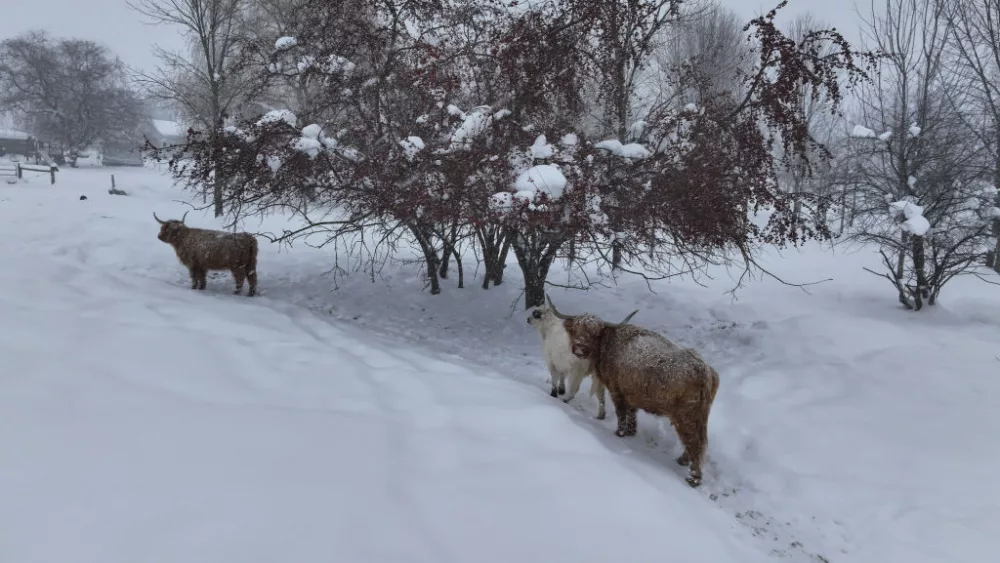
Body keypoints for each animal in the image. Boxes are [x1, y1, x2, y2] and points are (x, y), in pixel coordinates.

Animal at [556, 300, 720, 490]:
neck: (609, 343)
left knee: (695, 443)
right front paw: (631, 432)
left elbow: (621, 413)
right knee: (695, 442)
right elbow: (632, 414)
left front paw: (619, 433)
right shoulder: (630, 394)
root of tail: (704, 370)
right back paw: (682, 461)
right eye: (576, 329)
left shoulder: (616, 390)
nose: (580, 350)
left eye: (594, 334)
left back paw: (693, 478)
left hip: (686, 416)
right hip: (699, 416)